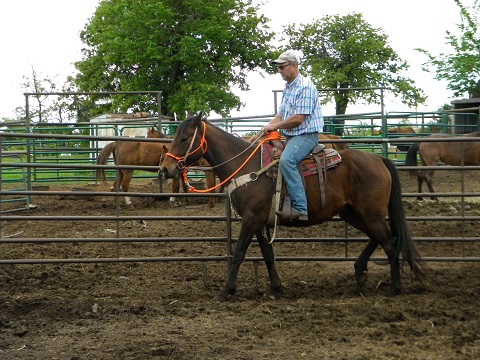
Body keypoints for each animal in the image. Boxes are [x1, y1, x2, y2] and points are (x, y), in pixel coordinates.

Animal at [159, 114, 422, 300]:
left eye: (184, 138)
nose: (165, 169)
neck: (246, 166)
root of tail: (379, 159)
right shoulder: (258, 221)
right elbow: (267, 254)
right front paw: (275, 287)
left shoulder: (251, 218)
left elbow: (239, 253)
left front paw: (227, 290)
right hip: (354, 213)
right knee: (379, 238)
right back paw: (359, 272)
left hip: (370, 213)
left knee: (389, 243)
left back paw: (394, 288)